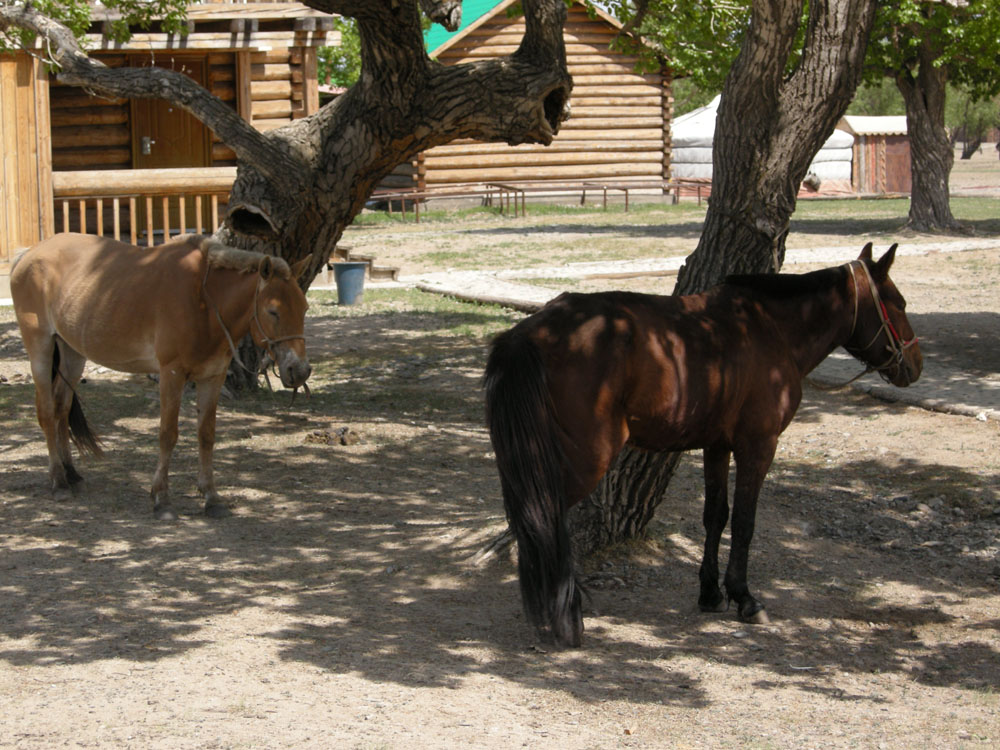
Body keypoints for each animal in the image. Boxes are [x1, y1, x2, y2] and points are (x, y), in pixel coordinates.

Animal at [9, 232, 310, 520]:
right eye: (273, 311)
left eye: (305, 308)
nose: (300, 371)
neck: (203, 299)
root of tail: (28, 255)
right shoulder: (171, 374)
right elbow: (168, 434)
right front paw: (162, 499)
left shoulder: (212, 376)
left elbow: (206, 435)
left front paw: (211, 498)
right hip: (40, 348)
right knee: (47, 412)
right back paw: (59, 482)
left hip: (72, 352)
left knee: (62, 407)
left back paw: (72, 474)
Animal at [484, 242, 920, 648]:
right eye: (898, 302)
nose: (915, 366)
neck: (769, 329)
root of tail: (529, 333)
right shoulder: (758, 445)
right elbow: (744, 521)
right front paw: (745, 598)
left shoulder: (718, 445)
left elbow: (716, 516)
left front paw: (711, 593)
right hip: (581, 460)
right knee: (547, 519)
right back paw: (565, 617)